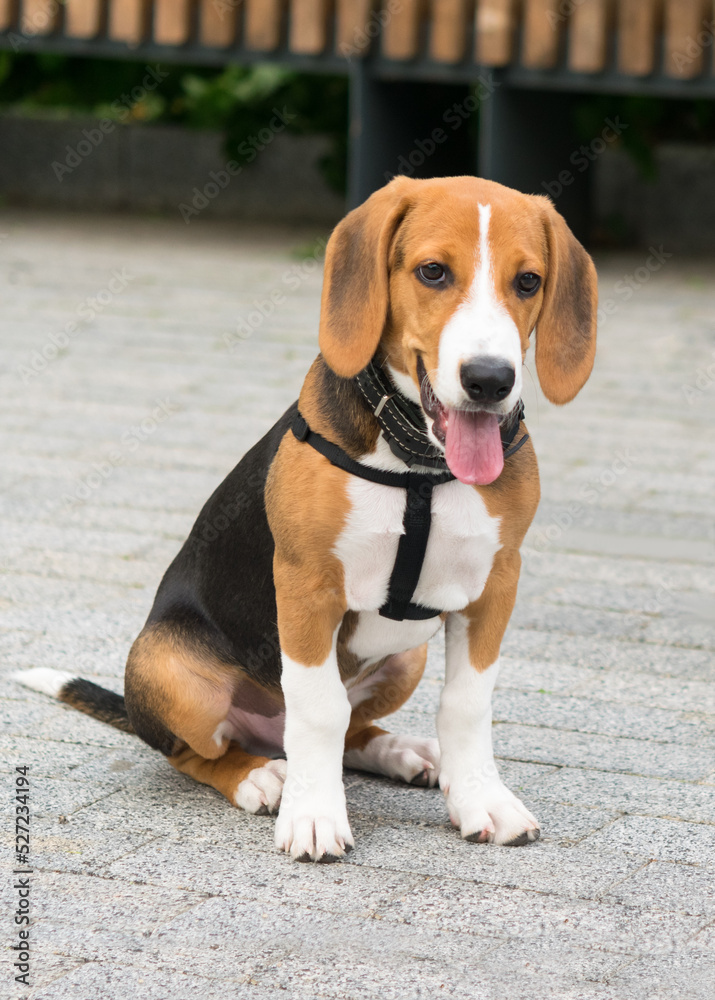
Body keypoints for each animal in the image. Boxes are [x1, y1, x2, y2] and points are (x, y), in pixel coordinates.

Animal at [15, 178, 600, 860]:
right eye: (433, 271)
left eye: (529, 281)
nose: (489, 380)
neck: (417, 462)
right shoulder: (307, 584)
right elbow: (318, 709)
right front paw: (315, 816)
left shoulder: (495, 585)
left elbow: (466, 704)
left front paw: (480, 798)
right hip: (167, 668)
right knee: (200, 752)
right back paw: (261, 778)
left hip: (407, 657)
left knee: (351, 728)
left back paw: (401, 751)